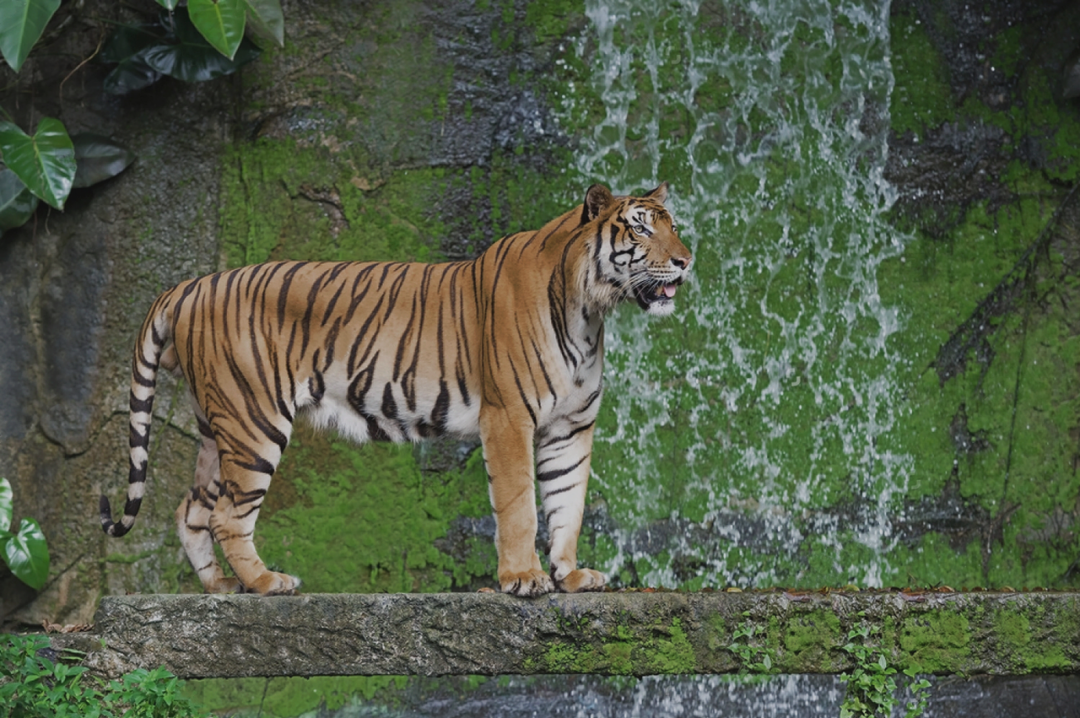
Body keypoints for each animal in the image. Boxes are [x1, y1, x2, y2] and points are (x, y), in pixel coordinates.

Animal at [99, 182, 692, 597]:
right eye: (640, 230)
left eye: (674, 227)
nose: (686, 261)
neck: (589, 314)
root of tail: (191, 283)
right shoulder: (509, 417)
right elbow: (521, 503)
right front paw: (524, 578)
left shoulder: (570, 427)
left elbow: (568, 502)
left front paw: (570, 575)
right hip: (254, 419)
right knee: (227, 514)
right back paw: (267, 583)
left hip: (214, 423)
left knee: (191, 509)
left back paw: (224, 586)